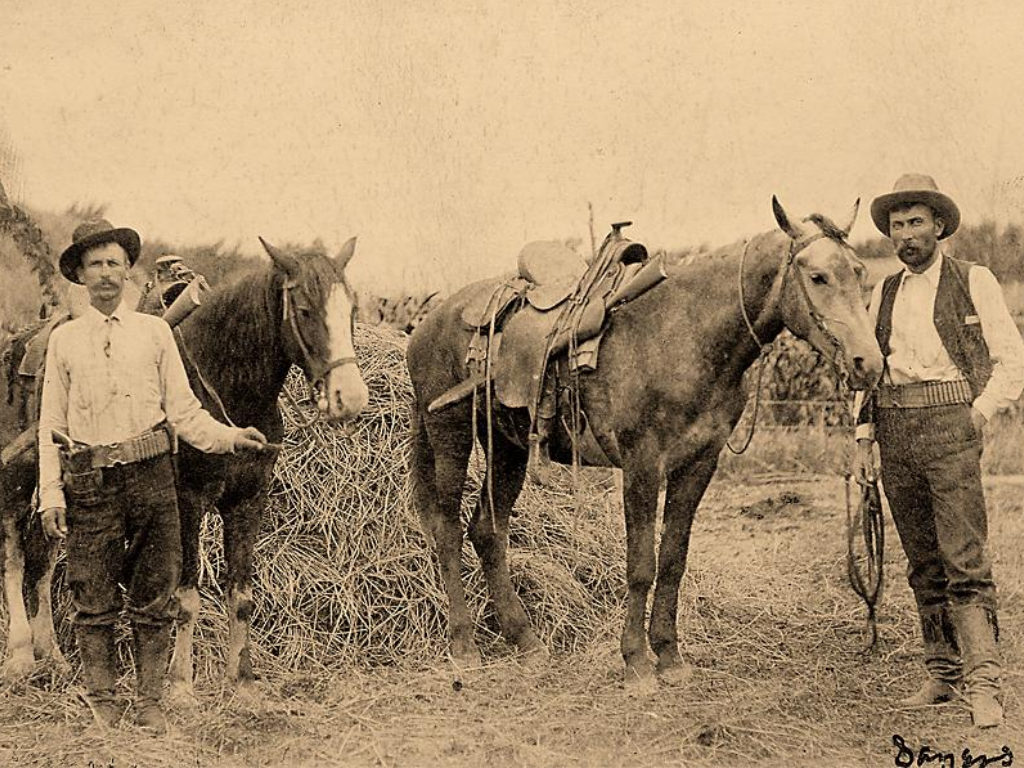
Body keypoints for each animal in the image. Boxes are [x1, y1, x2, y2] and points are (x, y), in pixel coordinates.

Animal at [409, 201, 888, 688]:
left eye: (858, 271)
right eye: (817, 276)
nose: (869, 363)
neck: (684, 335)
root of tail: (426, 325)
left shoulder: (697, 465)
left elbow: (673, 559)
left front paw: (670, 655)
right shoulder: (642, 464)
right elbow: (641, 564)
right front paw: (636, 661)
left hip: (509, 446)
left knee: (488, 532)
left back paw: (526, 641)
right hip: (450, 433)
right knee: (448, 529)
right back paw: (464, 646)